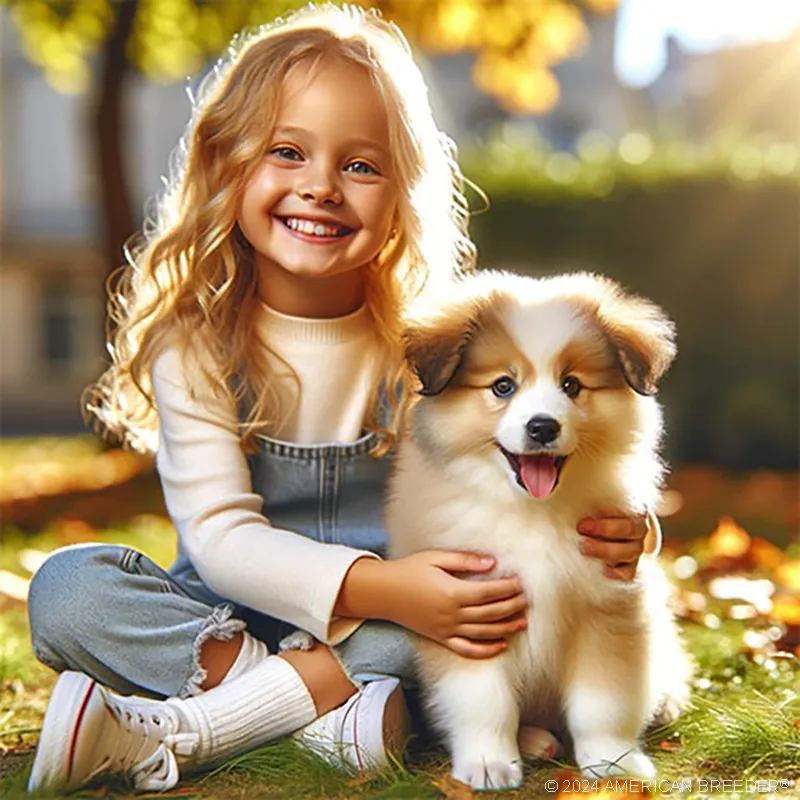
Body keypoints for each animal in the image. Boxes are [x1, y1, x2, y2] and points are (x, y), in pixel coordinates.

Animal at [384, 272, 692, 792]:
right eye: (503, 386)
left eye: (572, 385)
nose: (542, 427)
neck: (533, 513)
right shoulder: (473, 610)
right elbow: (484, 701)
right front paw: (488, 763)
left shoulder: (608, 605)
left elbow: (602, 702)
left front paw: (612, 763)